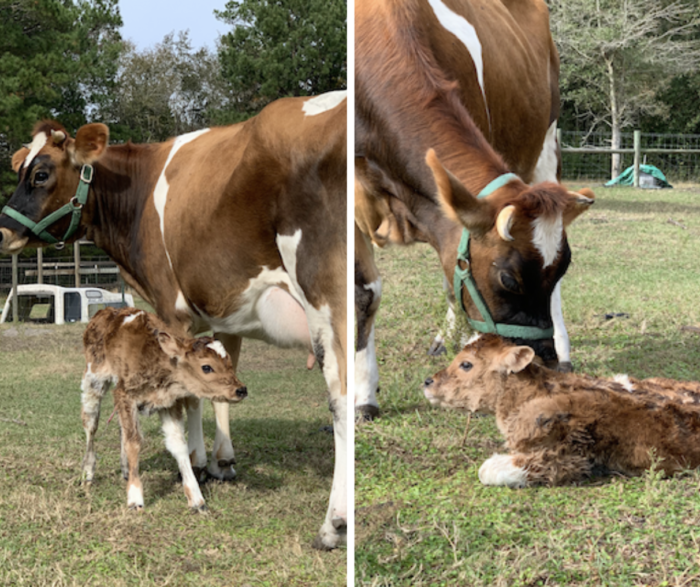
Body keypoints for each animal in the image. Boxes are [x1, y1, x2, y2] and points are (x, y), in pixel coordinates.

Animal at [81, 308, 249, 510]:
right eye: (207, 367)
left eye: (230, 363)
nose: (241, 390)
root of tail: (105, 311)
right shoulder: (126, 394)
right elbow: (134, 441)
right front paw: (135, 498)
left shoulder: (169, 404)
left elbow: (178, 445)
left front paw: (196, 498)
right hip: (93, 381)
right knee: (91, 424)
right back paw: (88, 474)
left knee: (121, 428)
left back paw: (125, 469)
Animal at [352, 0, 592, 418]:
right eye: (508, 279)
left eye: (563, 266)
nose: (541, 359)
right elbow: (363, 292)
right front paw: (363, 394)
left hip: (548, 146)